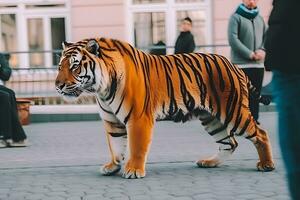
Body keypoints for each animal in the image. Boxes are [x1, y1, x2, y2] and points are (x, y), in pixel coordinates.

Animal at [55, 38, 276, 179]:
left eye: (75, 66)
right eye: (59, 66)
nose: (58, 85)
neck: (101, 89)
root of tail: (234, 65)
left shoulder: (138, 119)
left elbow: (136, 146)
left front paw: (133, 170)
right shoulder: (112, 122)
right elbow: (116, 147)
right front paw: (113, 167)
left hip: (233, 111)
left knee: (260, 134)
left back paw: (266, 165)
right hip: (211, 118)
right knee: (230, 143)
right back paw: (209, 162)